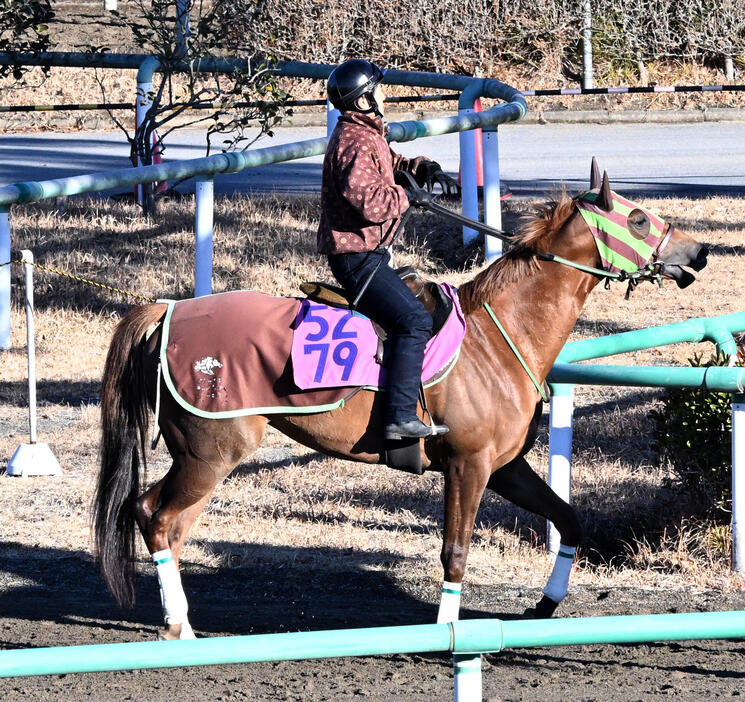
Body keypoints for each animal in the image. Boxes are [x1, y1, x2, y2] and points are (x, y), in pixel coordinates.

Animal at [94, 162, 708, 640]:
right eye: (636, 218)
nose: (699, 252)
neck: (498, 335)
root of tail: (167, 311)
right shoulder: (467, 465)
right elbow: (455, 551)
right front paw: (444, 632)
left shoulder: (505, 467)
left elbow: (571, 520)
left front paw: (546, 604)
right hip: (211, 454)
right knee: (156, 516)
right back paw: (178, 625)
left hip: (205, 458)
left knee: (163, 522)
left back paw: (181, 625)